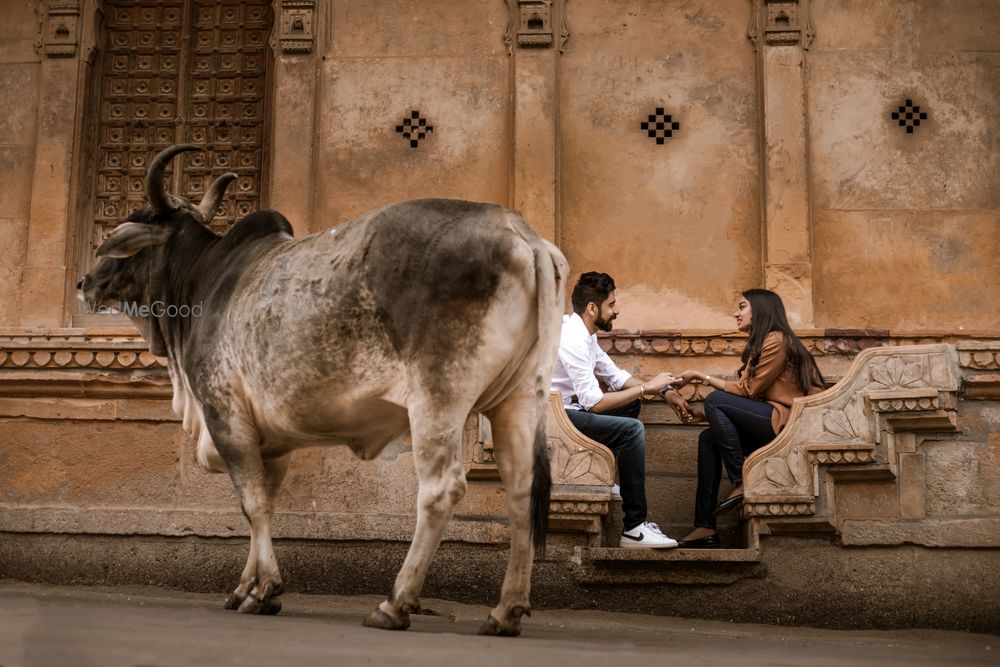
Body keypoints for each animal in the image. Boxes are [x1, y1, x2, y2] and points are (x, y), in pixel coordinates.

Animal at [78, 145, 572, 636]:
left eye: (127, 231)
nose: (85, 282)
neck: (202, 283)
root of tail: (519, 232)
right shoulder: (272, 442)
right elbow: (264, 506)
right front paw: (246, 589)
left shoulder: (226, 414)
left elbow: (252, 504)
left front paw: (266, 590)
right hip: (519, 399)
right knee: (522, 492)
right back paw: (506, 610)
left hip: (438, 400)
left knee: (440, 491)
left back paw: (395, 603)